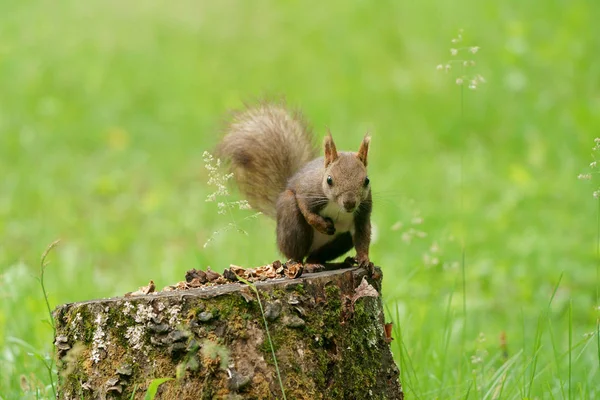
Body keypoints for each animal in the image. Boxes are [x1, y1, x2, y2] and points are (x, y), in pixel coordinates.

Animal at [218, 103, 372, 270]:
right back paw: (303, 264)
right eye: (329, 180)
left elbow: (363, 237)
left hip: (341, 241)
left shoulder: (363, 212)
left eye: (367, 180)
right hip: (291, 220)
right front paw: (321, 225)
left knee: (318, 254)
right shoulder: (307, 191)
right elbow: (306, 209)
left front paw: (364, 259)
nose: (350, 203)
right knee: (296, 254)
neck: (336, 206)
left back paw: (323, 261)